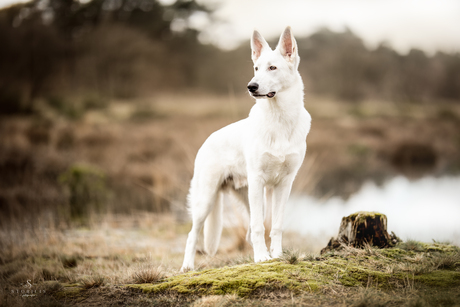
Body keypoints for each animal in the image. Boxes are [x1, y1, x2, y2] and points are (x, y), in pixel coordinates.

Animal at [181, 26, 310, 272]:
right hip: (207, 199)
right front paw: (262, 259)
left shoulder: (284, 184)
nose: (251, 87)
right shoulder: (258, 180)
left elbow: (276, 226)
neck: (279, 121)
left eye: (272, 68)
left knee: (250, 231)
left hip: (251, 197)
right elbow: (260, 227)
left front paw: (276, 256)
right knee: (193, 234)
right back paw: (187, 267)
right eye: (256, 68)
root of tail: (207, 140)